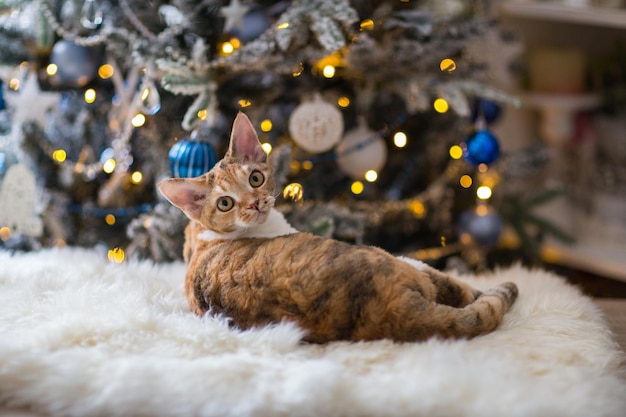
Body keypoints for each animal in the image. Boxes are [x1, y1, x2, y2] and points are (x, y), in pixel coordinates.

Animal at [157, 112, 516, 342]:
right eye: (225, 203)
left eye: (255, 178)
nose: (255, 204)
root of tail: (391, 310)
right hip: (401, 261)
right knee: (459, 288)